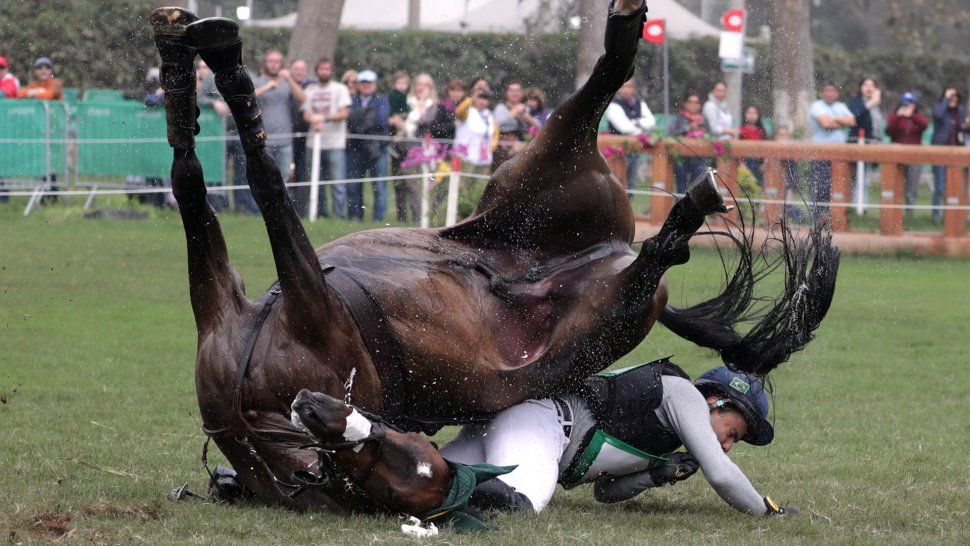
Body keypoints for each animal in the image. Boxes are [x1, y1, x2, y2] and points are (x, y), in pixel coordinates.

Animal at [151, 0, 840, 516]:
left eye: (410, 462)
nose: (320, 415)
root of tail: (605, 253)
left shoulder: (314, 311)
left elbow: (252, 184)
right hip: (555, 199)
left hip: (585, 258)